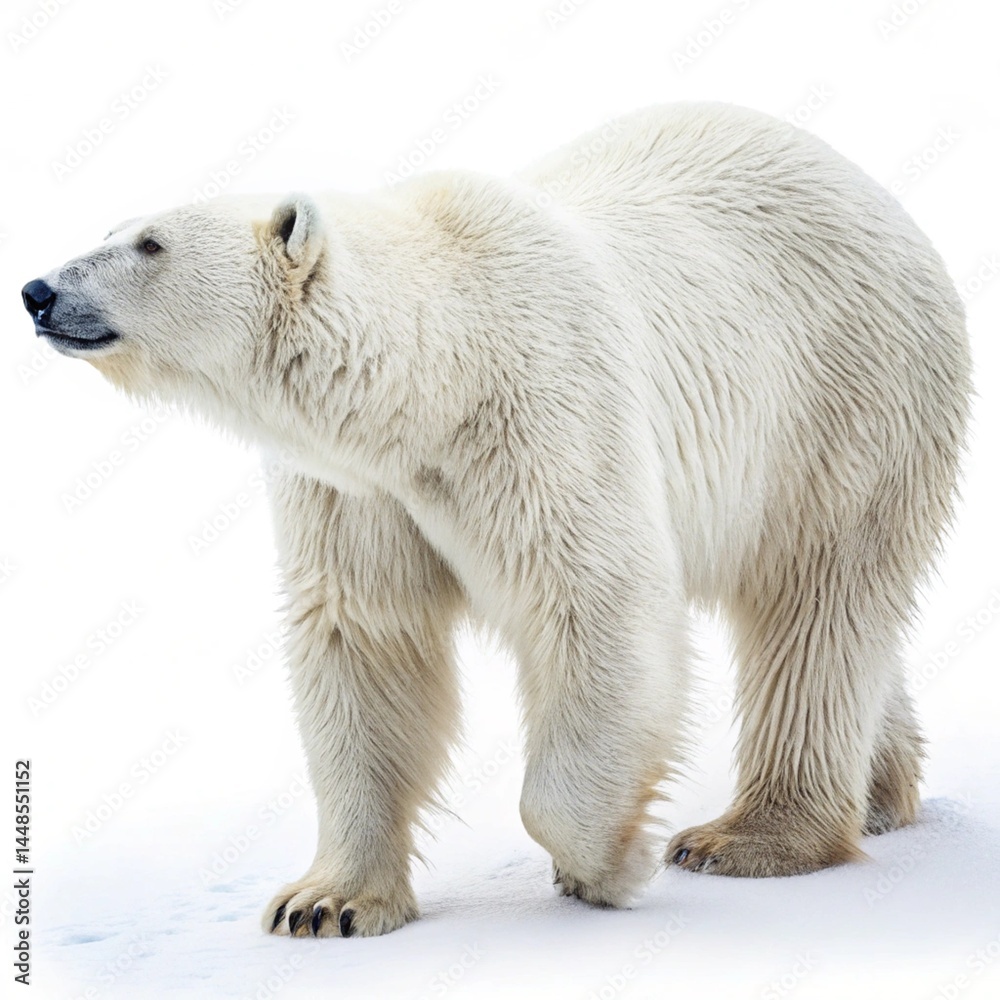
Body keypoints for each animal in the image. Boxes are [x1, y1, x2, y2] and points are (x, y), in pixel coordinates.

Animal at [23, 102, 971, 939]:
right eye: (111, 226)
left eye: (149, 243)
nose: (37, 290)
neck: (434, 373)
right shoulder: (358, 488)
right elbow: (362, 638)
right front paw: (324, 903)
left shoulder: (543, 411)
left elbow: (595, 599)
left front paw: (608, 864)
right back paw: (878, 792)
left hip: (843, 401)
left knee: (817, 598)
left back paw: (749, 838)